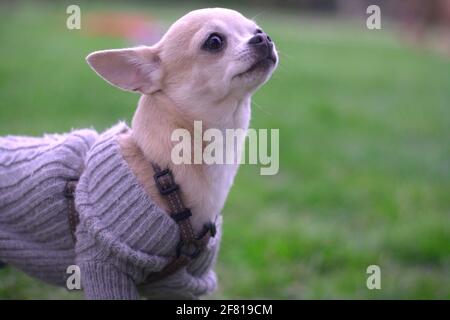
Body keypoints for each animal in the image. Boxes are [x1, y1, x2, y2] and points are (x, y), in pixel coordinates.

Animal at [0, 7, 278, 298]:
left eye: (257, 30)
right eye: (214, 42)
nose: (264, 38)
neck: (160, 169)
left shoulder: (181, 282)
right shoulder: (105, 265)